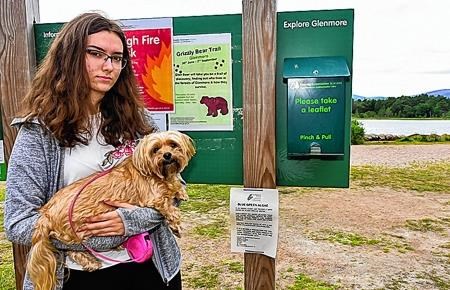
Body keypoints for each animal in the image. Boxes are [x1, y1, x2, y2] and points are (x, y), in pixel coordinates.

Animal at [26, 131, 195, 290]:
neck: (153, 172)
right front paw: (176, 225)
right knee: (70, 250)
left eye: (173, 144)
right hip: (77, 232)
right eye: (155, 149)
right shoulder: (153, 198)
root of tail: (46, 214)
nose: (167, 155)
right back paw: (91, 260)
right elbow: (169, 208)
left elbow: (176, 186)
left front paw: (180, 191)